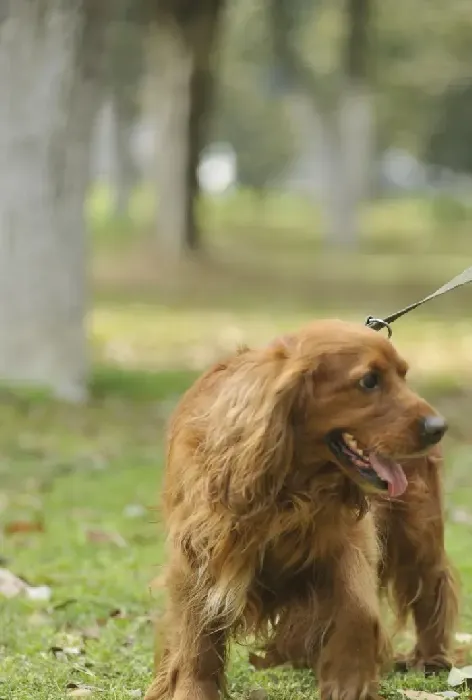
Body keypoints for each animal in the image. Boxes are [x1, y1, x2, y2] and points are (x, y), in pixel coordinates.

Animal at [144, 318, 458, 700]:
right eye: (369, 381)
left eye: (403, 375)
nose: (439, 428)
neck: (291, 483)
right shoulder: (198, 552)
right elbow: (196, 636)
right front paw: (192, 690)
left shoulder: (347, 541)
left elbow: (358, 609)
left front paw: (348, 684)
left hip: (417, 531)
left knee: (432, 585)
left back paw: (431, 658)